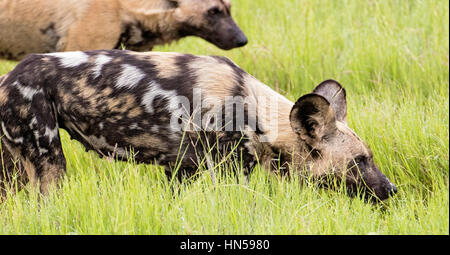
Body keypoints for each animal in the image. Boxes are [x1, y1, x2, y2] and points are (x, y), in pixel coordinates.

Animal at [0, 50, 398, 201]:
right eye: (359, 161)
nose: (392, 189)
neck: (256, 113)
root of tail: (8, 77)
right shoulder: (229, 172)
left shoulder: (180, 172)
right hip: (49, 165)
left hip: (16, 173)